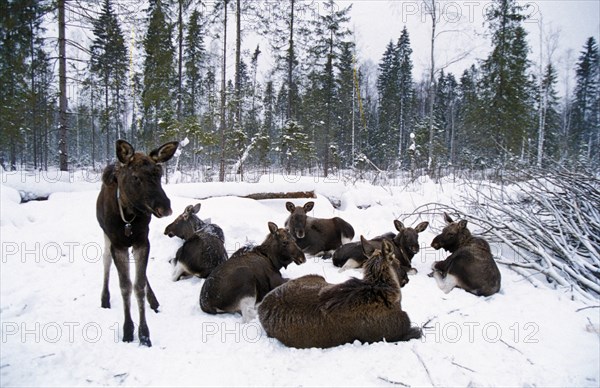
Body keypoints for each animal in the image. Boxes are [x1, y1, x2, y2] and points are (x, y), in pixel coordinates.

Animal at [96, 139, 178, 346]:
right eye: (135, 177)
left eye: (160, 173)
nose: (165, 207)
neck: (128, 217)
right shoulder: (117, 244)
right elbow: (125, 286)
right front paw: (127, 330)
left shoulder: (142, 241)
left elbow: (138, 285)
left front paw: (144, 334)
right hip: (106, 237)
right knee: (106, 261)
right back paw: (105, 298)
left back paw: (153, 300)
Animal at [258, 236, 422, 348]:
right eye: (398, 262)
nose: (406, 279)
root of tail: (261, 307)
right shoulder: (395, 332)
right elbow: (418, 331)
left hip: (317, 277)